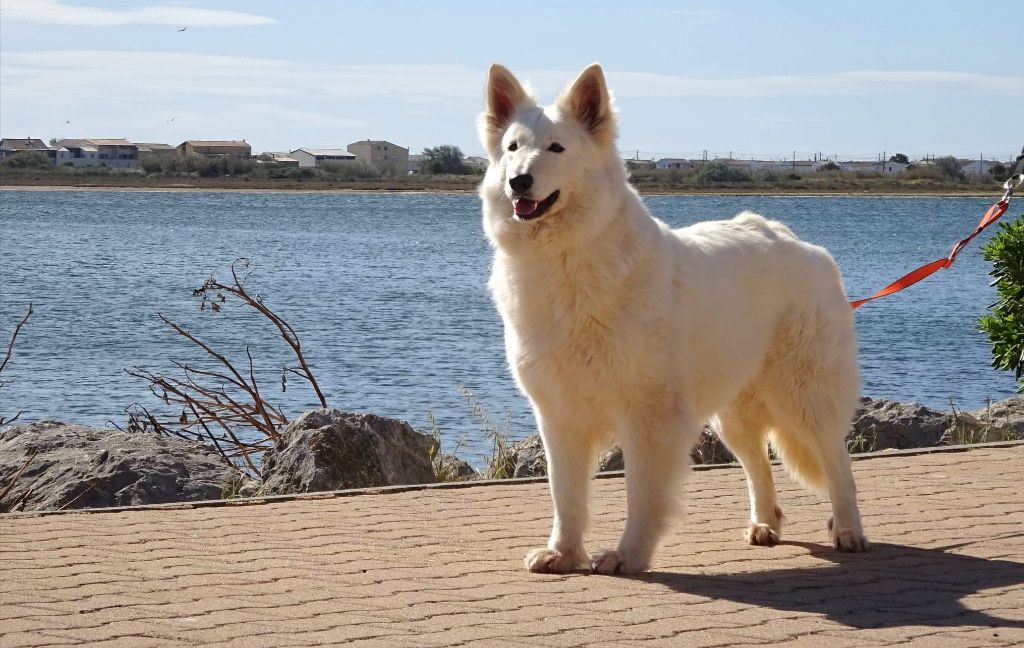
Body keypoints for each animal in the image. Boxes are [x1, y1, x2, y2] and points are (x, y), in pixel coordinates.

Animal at [475, 63, 868, 573]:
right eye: (513, 148)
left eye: (556, 149)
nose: (519, 181)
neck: (566, 260)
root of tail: (805, 246)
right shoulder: (559, 416)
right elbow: (565, 494)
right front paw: (562, 552)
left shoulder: (648, 418)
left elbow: (641, 495)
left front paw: (628, 555)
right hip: (732, 416)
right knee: (759, 465)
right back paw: (765, 524)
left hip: (805, 399)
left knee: (839, 466)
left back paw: (848, 531)